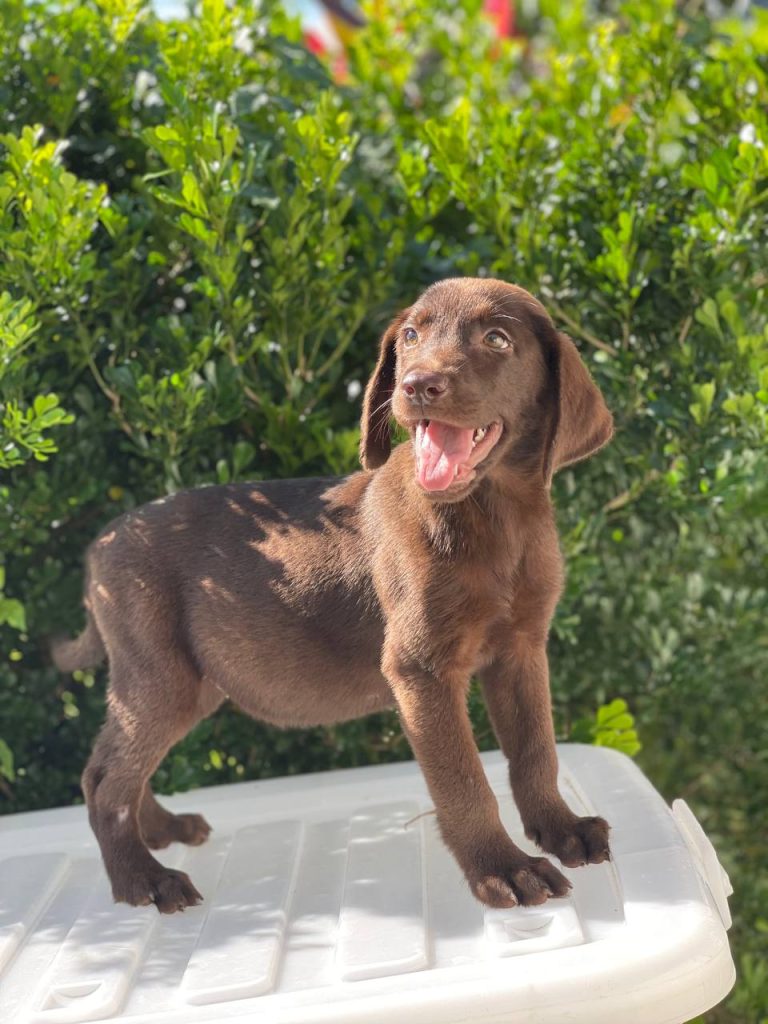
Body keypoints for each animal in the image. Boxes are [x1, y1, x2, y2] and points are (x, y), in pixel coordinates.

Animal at [53, 277, 614, 914]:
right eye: (411, 335)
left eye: (497, 339)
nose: (416, 384)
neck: (495, 519)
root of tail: (101, 544)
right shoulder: (421, 669)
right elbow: (465, 780)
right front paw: (504, 867)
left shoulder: (521, 649)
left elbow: (537, 751)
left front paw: (561, 830)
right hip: (159, 673)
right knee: (104, 779)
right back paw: (143, 879)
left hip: (188, 684)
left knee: (125, 763)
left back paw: (163, 830)